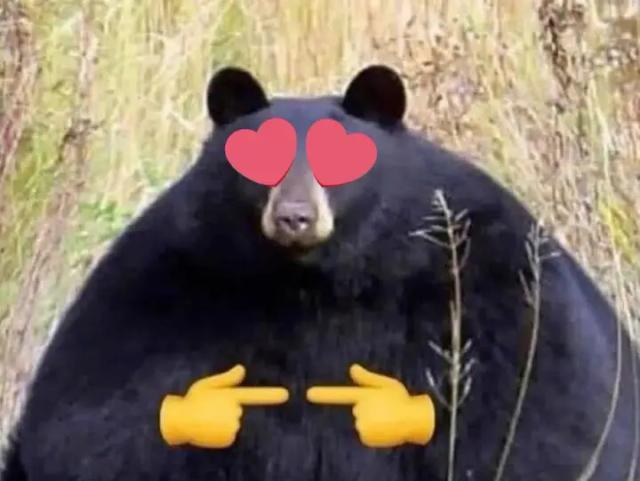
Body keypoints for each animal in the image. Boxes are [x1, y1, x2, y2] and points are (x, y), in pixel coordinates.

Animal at [1, 64, 638, 481]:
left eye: (338, 159)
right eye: (258, 159)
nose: (294, 217)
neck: (319, 281)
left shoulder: (485, 282)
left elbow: (537, 414)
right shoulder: (167, 286)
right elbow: (104, 424)